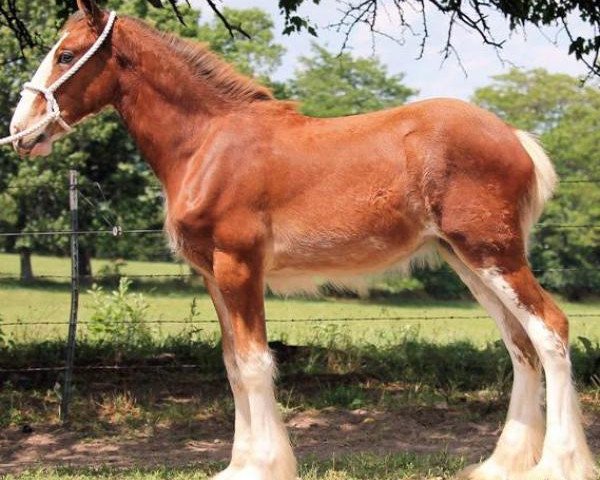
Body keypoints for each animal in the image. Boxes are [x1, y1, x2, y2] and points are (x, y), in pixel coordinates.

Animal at [7, 1, 596, 478]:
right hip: (468, 262)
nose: (20, 131)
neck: (208, 144)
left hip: (494, 255)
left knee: (550, 330)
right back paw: (502, 465)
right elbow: (231, 365)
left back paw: (558, 465)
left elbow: (253, 363)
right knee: (520, 345)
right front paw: (238, 465)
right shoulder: (213, 275)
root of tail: (514, 138)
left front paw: (261, 467)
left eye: (66, 55)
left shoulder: (240, 266)